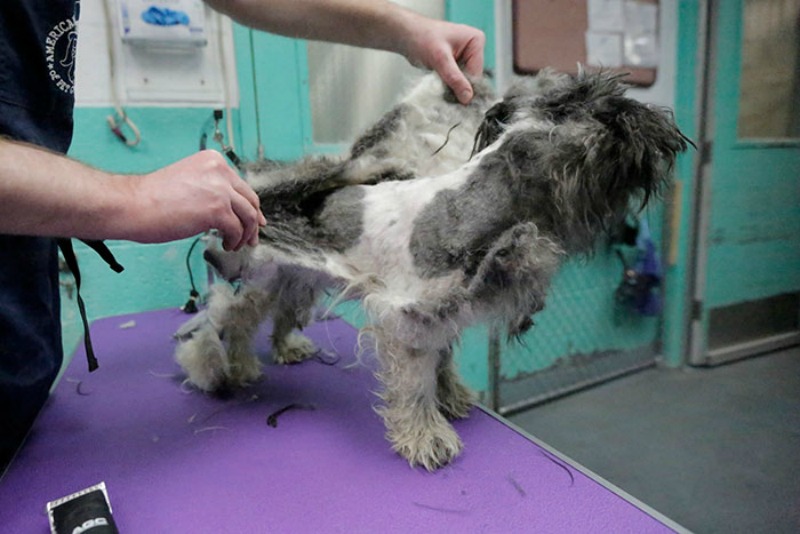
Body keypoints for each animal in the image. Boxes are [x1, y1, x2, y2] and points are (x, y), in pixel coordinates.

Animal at [173, 69, 688, 472]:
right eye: (610, 108)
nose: (667, 125)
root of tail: (264, 187)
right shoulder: (408, 323)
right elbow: (416, 385)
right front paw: (425, 438)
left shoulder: (442, 316)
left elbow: (442, 364)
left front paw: (452, 398)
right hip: (256, 279)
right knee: (227, 322)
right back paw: (228, 368)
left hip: (300, 278)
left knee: (276, 316)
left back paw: (281, 350)